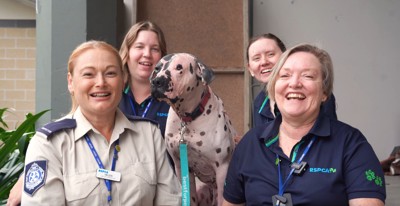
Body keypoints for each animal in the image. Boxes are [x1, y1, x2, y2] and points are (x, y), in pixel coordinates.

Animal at [151, 53, 238, 206]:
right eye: (157, 68)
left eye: (179, 67)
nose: (156, 81)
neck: (188, 119)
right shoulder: (181, 168)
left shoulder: (222, 168)